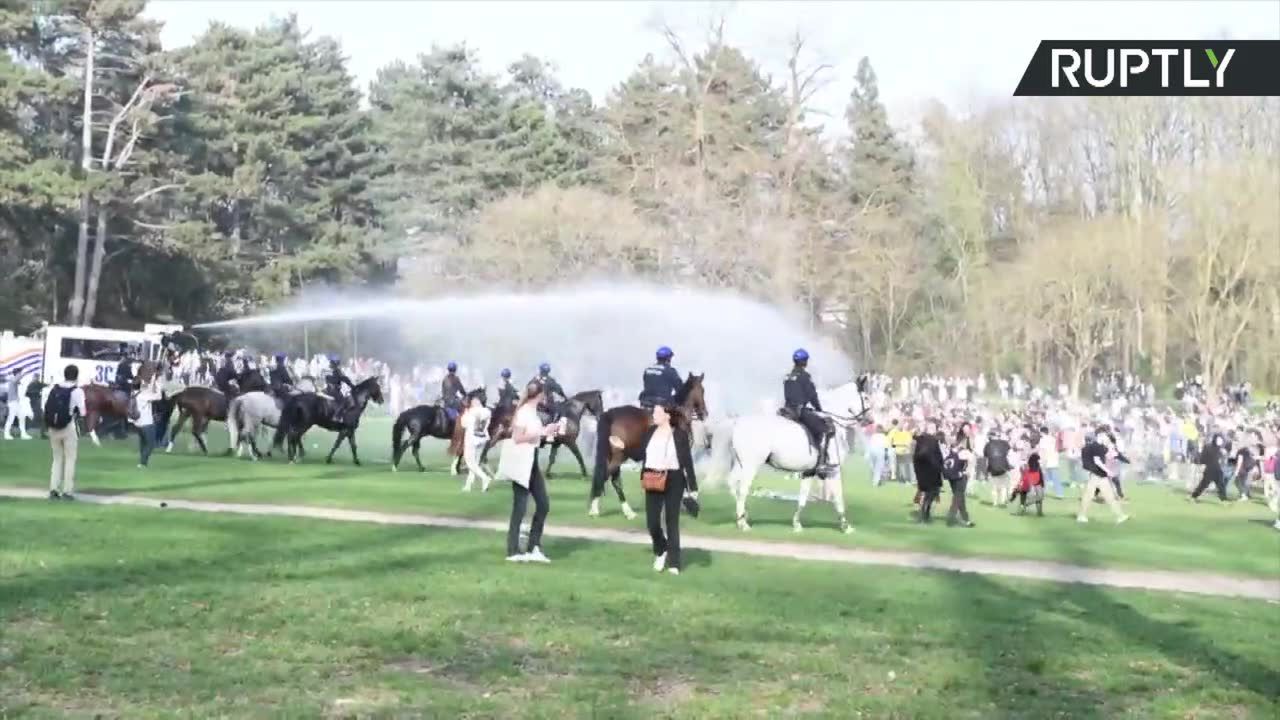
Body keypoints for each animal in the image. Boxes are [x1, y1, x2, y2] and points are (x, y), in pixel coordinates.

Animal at [586, 371, 706, 517]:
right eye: (702, 391)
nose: (704, 413)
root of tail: (611, 414)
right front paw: (690, 499)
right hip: (619, 456)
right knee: (606, 477)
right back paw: (595, 509)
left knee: (614, 480)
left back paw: (627, 511)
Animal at [701, 379, 870, 530]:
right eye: (866, 397)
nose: (869, 419)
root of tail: (737, 421)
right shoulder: (833, 471)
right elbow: (839, 499)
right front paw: (845, 526)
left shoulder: (809, 472)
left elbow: (803, 498)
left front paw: (797, 524)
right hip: (751, 466)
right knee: (742, 489)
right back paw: (743, 523)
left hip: (741, 464)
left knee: (732, 484)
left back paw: (742, 517)